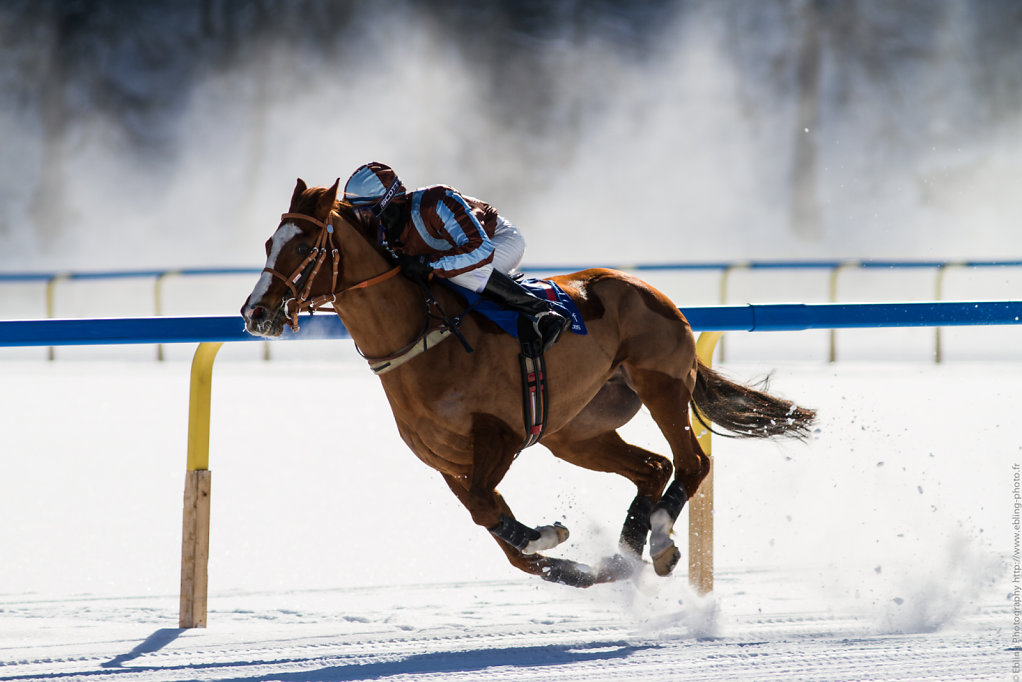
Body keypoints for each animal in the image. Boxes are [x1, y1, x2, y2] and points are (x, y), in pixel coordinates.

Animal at [239, 179, 813, 588]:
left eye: (304, 247)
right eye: (269, 241)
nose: (256, 313)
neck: (423, 337)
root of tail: (653, 291)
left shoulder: (502, 435)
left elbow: (489, 511)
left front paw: (546, 535)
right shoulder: (445, 460)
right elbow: (491, 523)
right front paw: (565, 557)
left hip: (660, 385)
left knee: (692, 462)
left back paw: (661, 546)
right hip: (575, 432)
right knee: (654, 467)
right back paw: (623, 558)